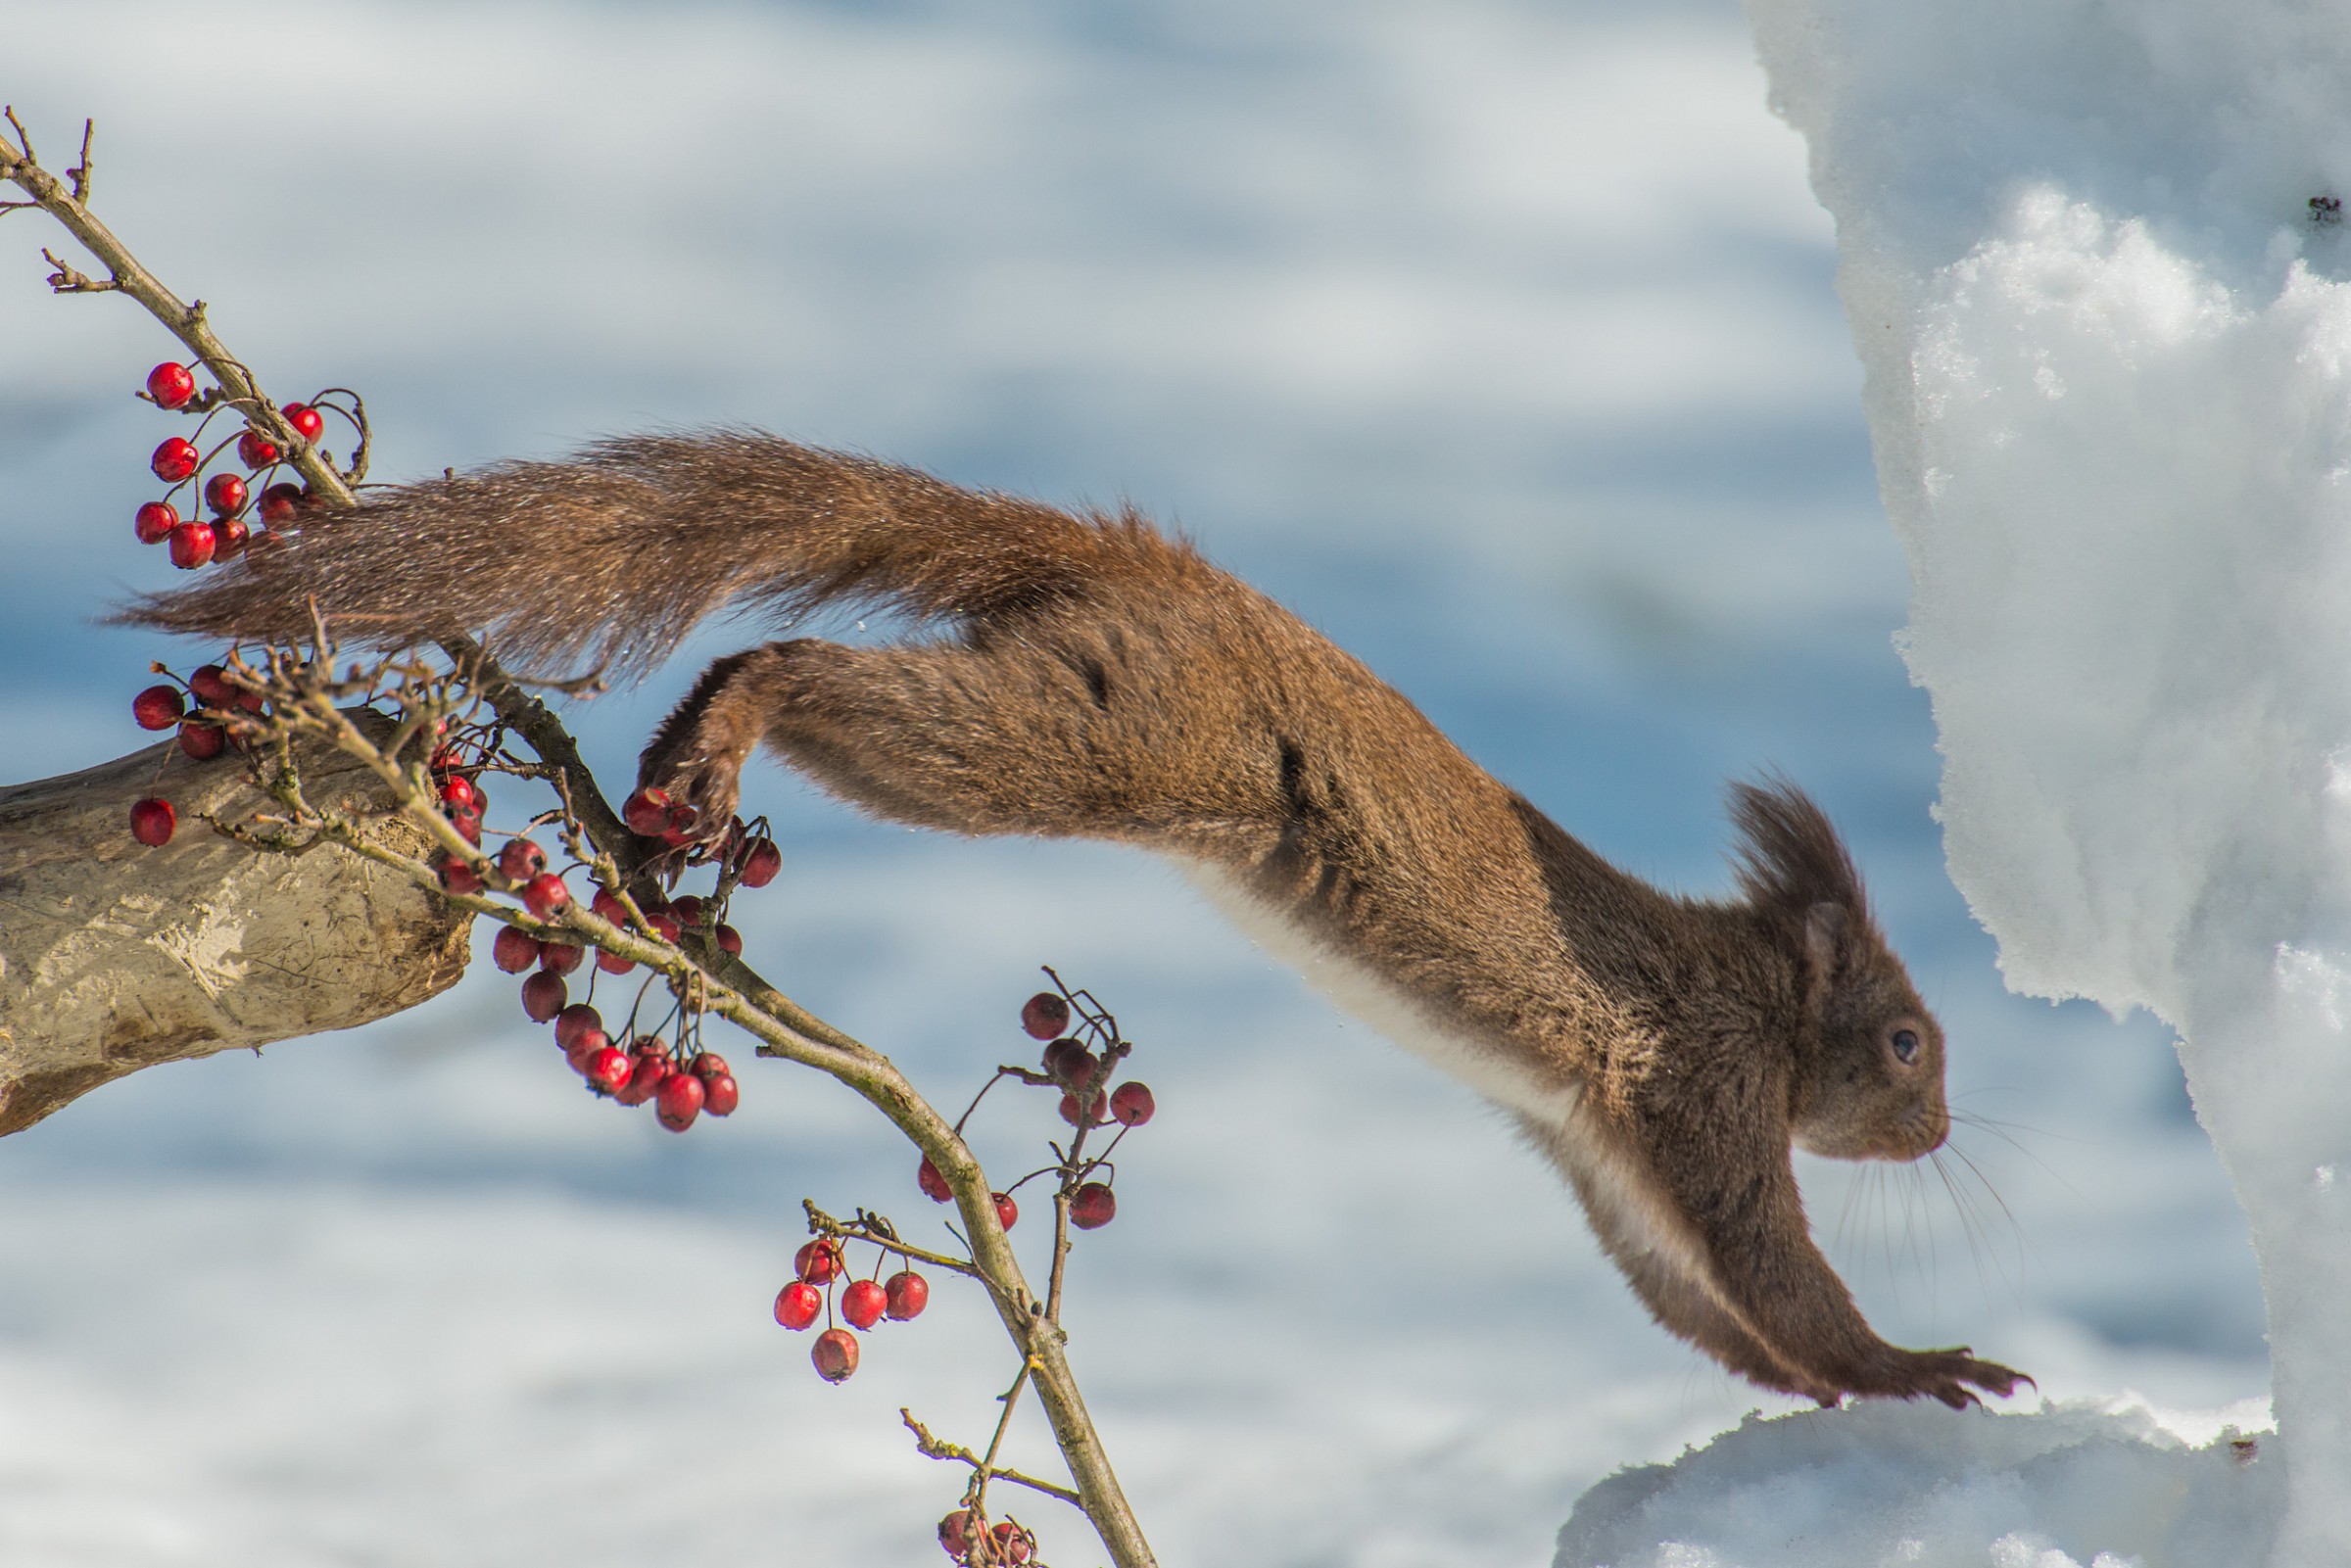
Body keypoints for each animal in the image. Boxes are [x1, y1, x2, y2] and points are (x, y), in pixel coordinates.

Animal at [126, 430, 2024, 1409]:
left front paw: (1829, 1391)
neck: (1747, 999)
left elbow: (1699, 1304)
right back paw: (725, 728)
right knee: (825, 682)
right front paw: (1917, 1365)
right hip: (1121, 734)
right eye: (1906, 1040)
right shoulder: (1697, 1088)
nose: (1942, 1124)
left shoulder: (1601, 1148)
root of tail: (1133, 559)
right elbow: (1778, 1268)